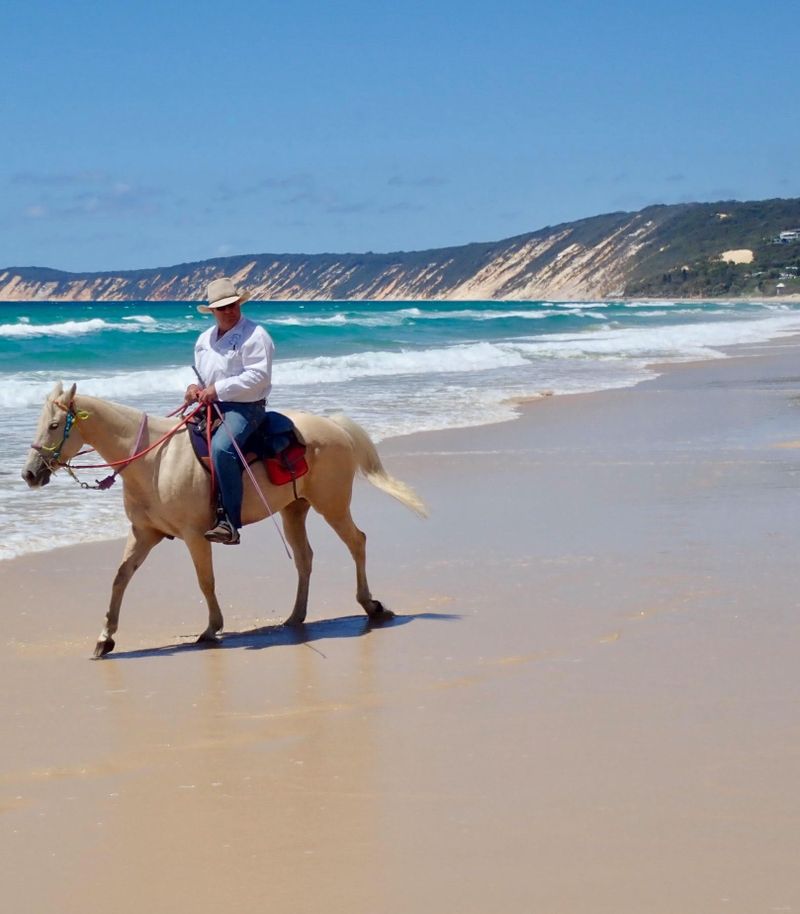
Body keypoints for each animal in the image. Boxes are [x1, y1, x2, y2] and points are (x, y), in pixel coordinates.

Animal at [22, 382, 427, 658]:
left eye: (55, 425)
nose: (29, 474)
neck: (154, 461)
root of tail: (334, 427)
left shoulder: (194, 535)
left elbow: (206, 581)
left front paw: (211, 629)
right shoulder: (145, 533)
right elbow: (120, 578)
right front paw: (105, 639)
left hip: (333, 505)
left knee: (357, 541)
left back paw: (372, 606)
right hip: (295, 509)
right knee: (305, 558)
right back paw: (295, 617)